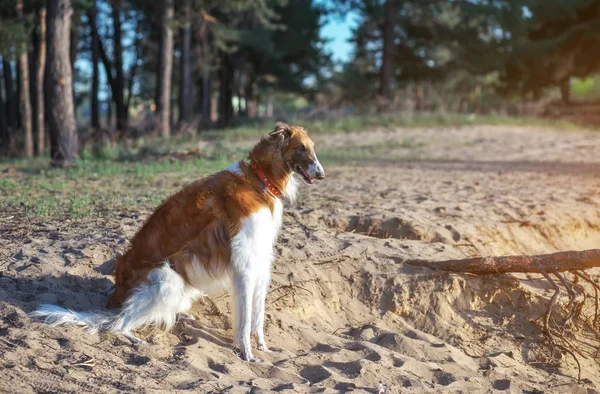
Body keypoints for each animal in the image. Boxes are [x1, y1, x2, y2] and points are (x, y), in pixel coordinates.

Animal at [30, 121, 326, 362]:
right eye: (301, 148)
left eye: (312, 147)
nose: (322, 174)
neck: (257, 181)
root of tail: (114, 302)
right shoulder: (244, 264)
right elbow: (243, 321)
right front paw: (247, 353)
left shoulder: (260, 259)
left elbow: (258, 316)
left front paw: (262, 347)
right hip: (167, 280)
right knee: (119, 325)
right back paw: (135, 337)